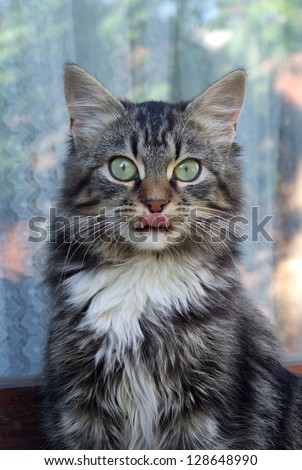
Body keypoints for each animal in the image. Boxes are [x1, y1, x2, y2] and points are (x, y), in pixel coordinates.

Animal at [43, 64, 302, 450]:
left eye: (187, 169)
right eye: (122, 168)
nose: (155, 203)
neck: (145, 274)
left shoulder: (203, 409)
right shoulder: (80, 402)